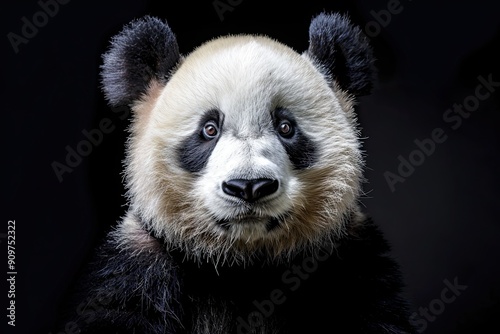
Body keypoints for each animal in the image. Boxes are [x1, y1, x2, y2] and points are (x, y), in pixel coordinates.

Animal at [55, 11, 414, 334]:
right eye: (209, 129)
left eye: (286, 127)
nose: (249, 186)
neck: (242, 266)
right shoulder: (138, 267)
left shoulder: (353, 262)